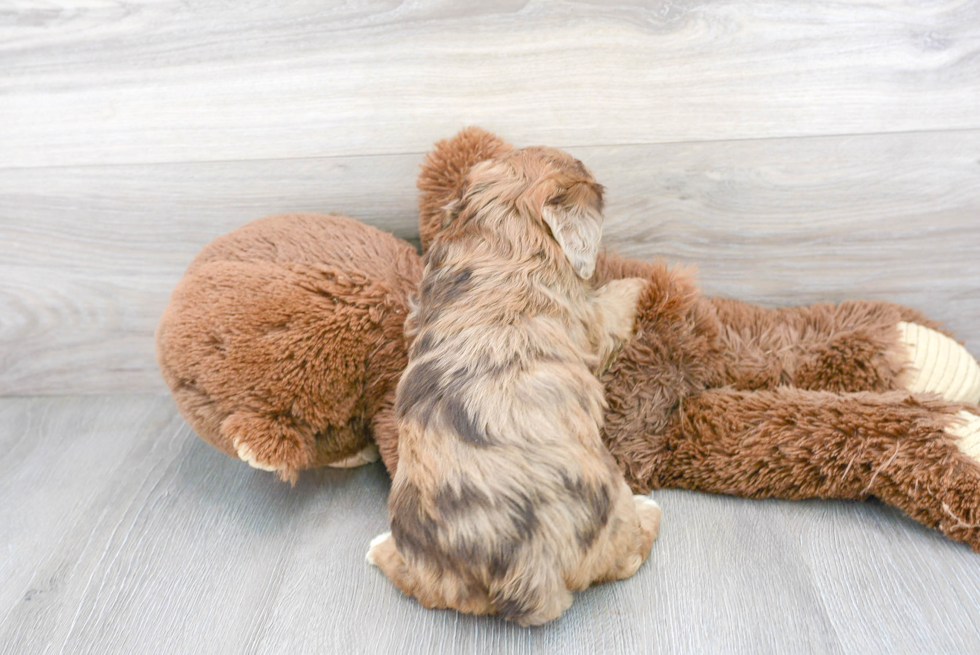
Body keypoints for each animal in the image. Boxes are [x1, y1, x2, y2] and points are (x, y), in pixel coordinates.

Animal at [366, 146, 660, 628]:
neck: (503, 237)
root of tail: (528, 573)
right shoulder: (591, 320)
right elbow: (614, 303)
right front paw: (643, 282)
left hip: (434, 569)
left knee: (414, 580)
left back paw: (379, 550)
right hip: (610, 518)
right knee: (627, 553)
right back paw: (647, 512)